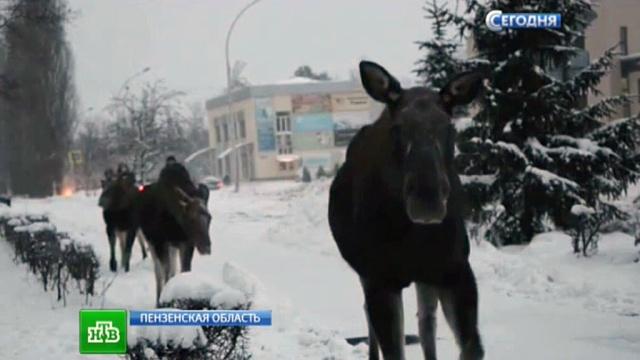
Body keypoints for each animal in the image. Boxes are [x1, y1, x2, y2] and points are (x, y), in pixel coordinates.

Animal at [330, 60, 484, 358]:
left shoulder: (455, 269)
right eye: (397, 128)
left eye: (449, 127)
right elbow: (393, 348)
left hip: (425, 278)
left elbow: (472, 346)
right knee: (371, 324)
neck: (413, 236)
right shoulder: (380, 278)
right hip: (369, 274)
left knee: (426, 325)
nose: (427, 200)